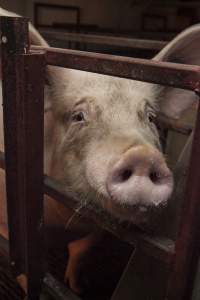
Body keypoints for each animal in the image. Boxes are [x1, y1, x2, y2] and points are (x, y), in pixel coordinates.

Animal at [0, 6, 199, 296]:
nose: (142, 156)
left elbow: (82, 248)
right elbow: (26, 270)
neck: (64, 225)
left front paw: (77, 286)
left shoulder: (101, 227)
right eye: (78, 116)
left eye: (150, 117)